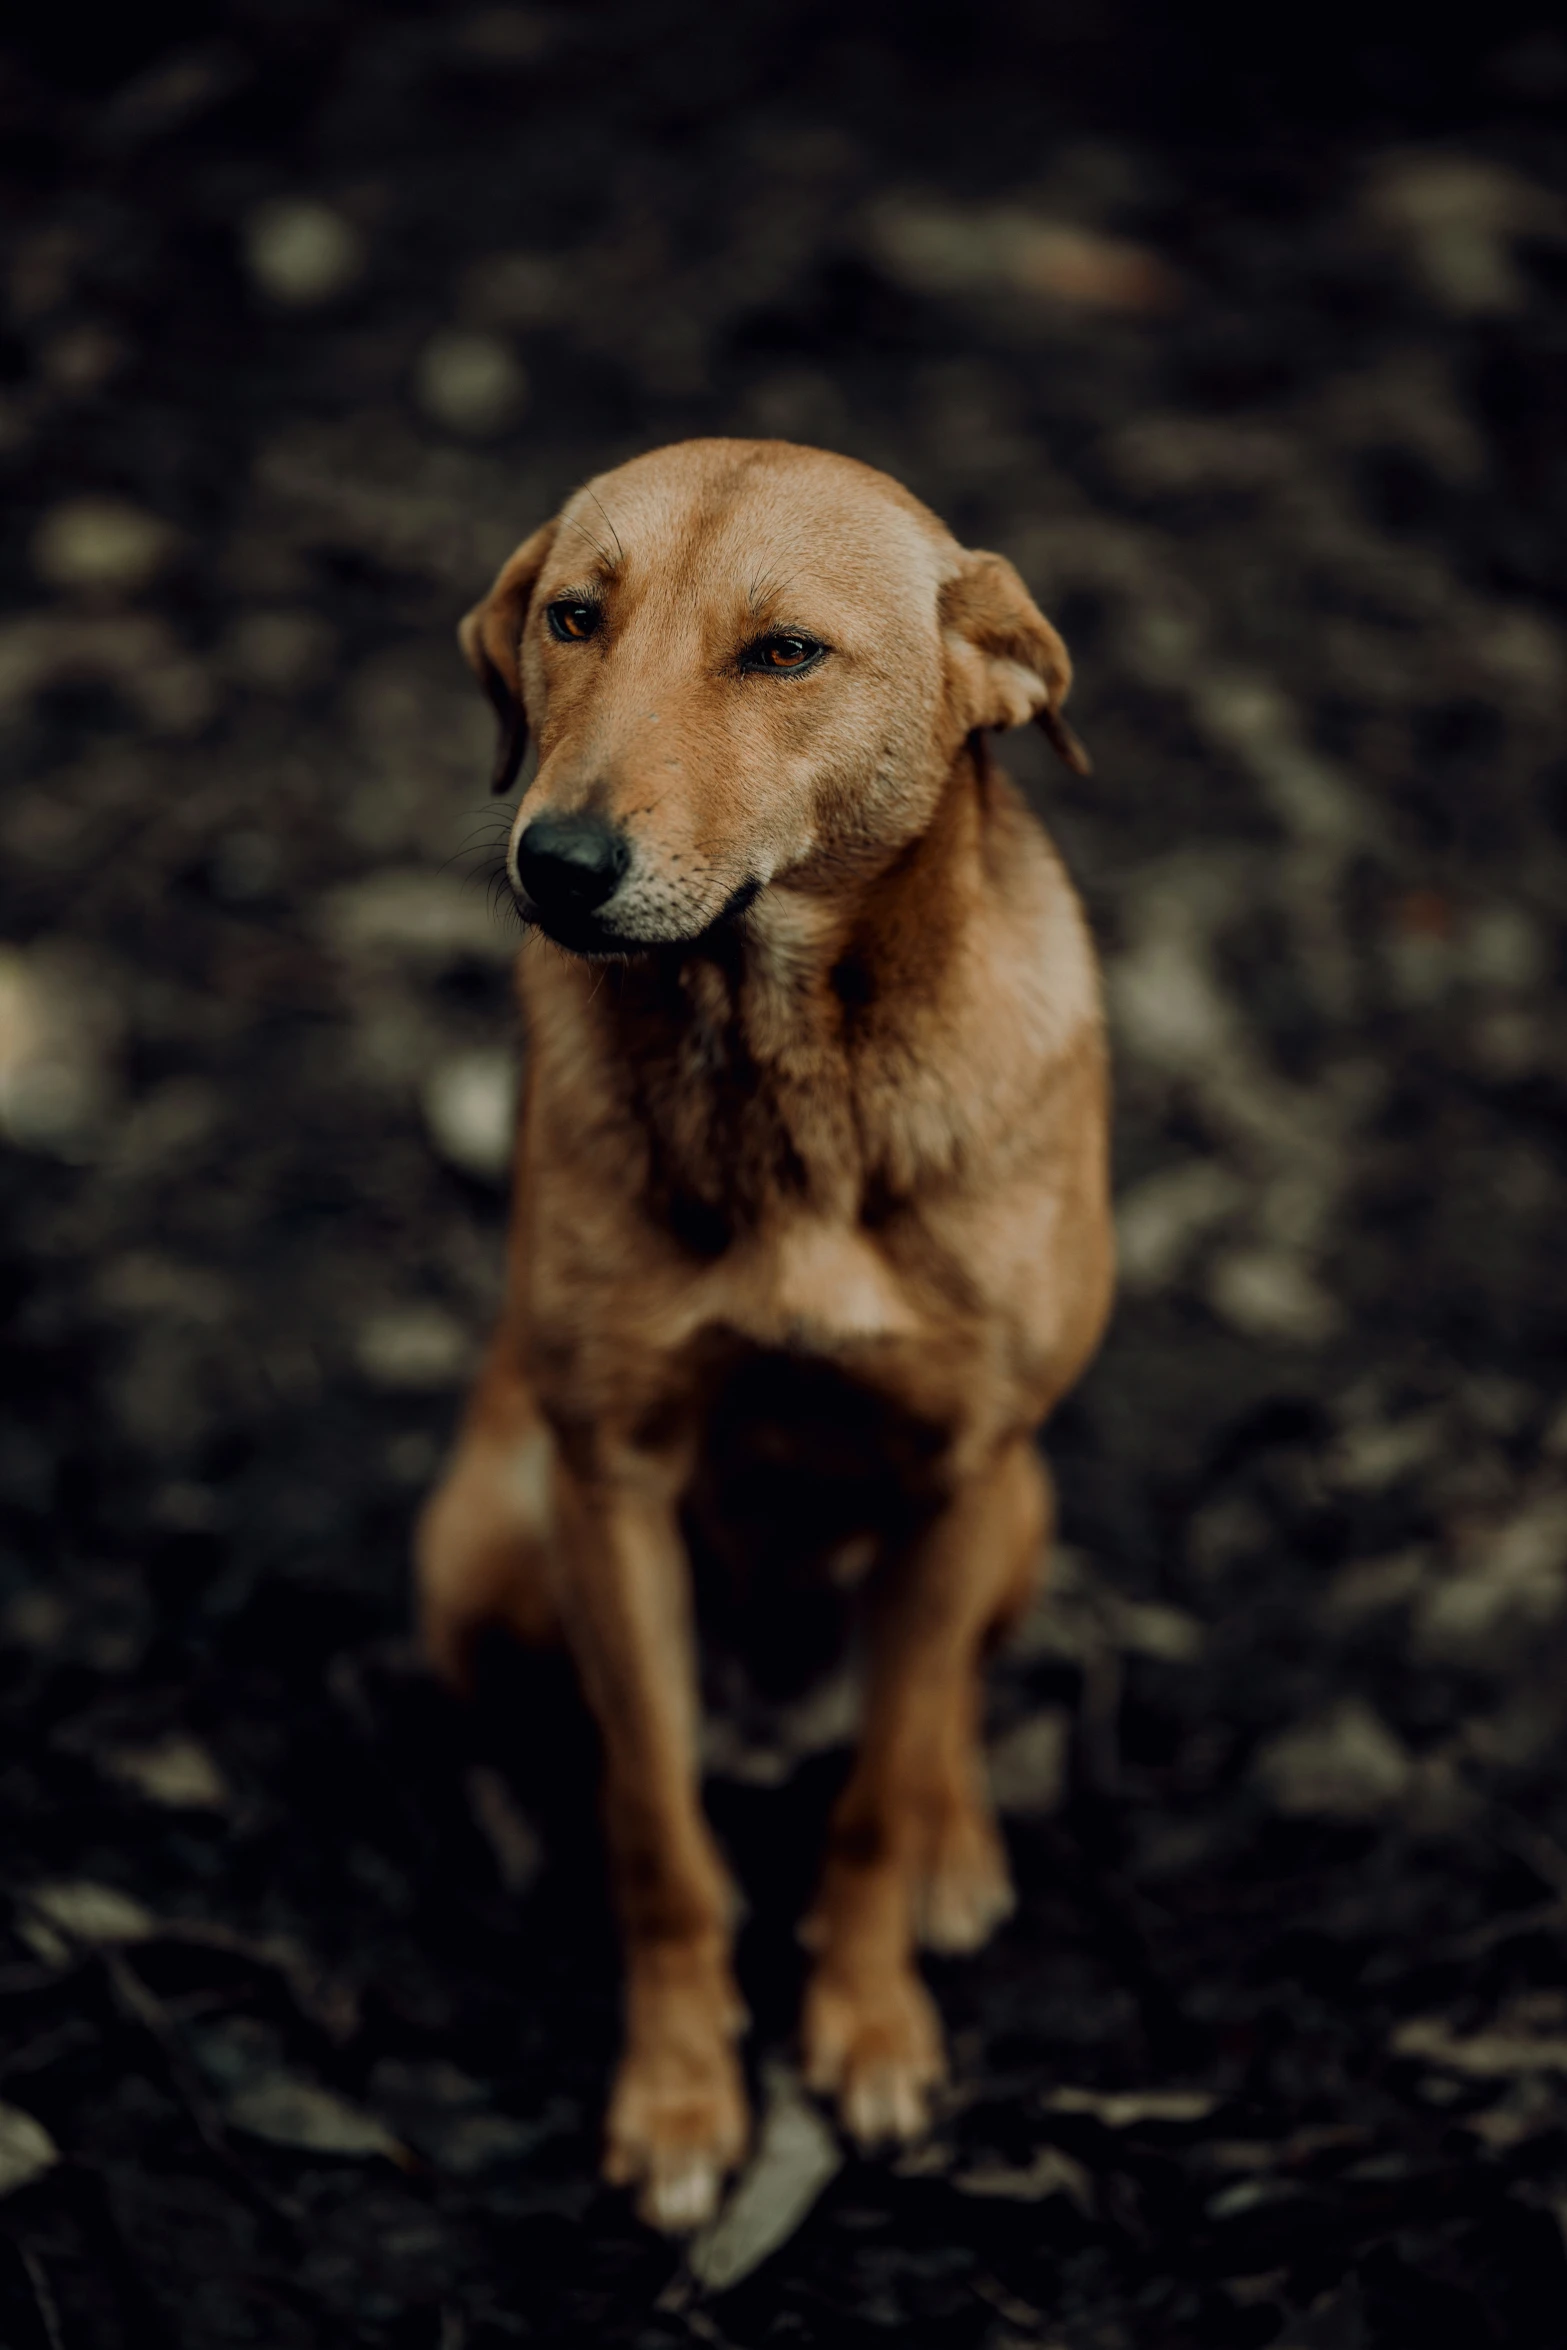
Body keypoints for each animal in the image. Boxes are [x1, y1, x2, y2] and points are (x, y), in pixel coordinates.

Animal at [415, 444, 1113, 2237]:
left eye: (784, 654)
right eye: (573, 618)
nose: (557, 862)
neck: (791, 1070)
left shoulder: (957, 1469)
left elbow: (870, 1807)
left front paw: (866, 2030)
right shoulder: (609, 1480)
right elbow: (661, 1840)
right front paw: (676, 2096)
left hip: (1021, 1503)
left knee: (928, 1717)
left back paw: (955, 1850)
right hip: (487, 1528)